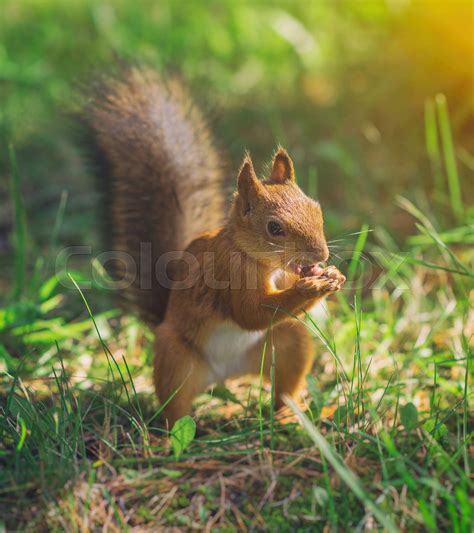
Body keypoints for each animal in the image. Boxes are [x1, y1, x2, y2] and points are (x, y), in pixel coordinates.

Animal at [83, 67, 346, 424]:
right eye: (274, 228)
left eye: (316, 209)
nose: (321, 254)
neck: (262, 261)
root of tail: (225, 375)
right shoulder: (229, 271)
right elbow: (250, 313)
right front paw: (310, 287)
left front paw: (330, 276)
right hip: (175, 358)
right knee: (175, 408)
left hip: (287, 344)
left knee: (284, 384)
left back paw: (288, 414)